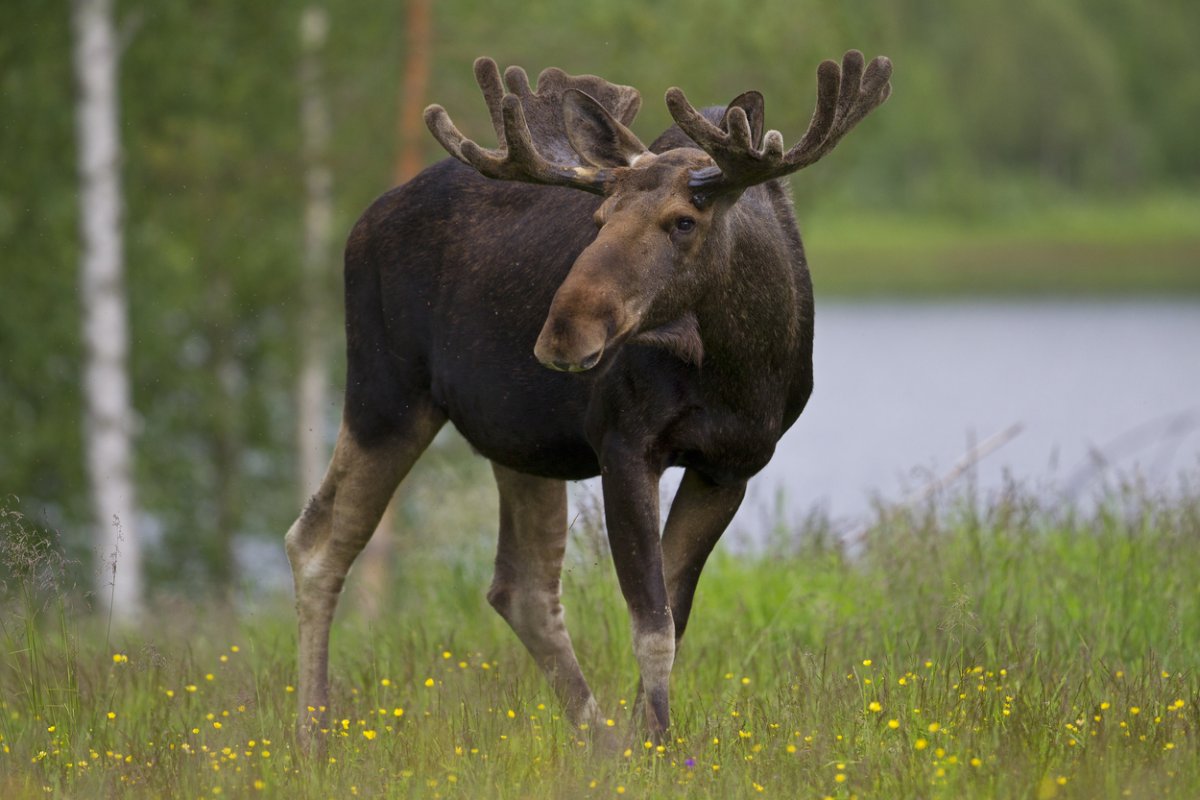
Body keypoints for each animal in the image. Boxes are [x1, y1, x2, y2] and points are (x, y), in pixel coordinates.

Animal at [284, 50, 892, 748]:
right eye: (598, 221)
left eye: (684, 221)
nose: (561, 334)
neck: (741, 366)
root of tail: (360, 223)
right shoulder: (624, 445)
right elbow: (652, 625)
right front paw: (658, 747)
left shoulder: (729, 467)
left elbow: (674, 613)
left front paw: (648, 740)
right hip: (385, 395)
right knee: (318, 542)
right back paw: (312, 737)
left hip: (516, 439)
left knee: (520, 587)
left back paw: (599, 744)